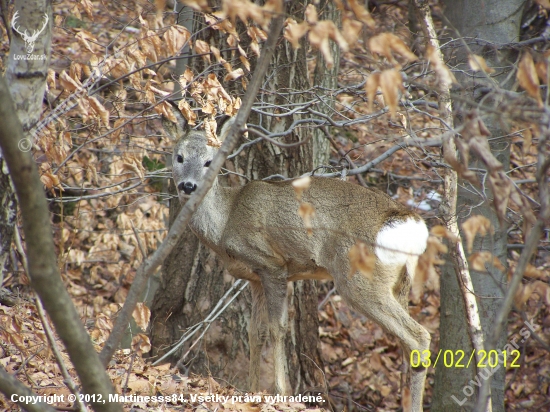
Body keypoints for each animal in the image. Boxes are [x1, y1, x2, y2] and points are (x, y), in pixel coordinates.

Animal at [164, 108, 432, 410]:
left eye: (209, 161)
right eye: (179, 156)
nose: (188, 185)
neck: (225, 224)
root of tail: (412, 224)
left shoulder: (272, 264)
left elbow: (278, 328)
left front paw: (281, 392)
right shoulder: (254, 277)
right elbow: (255, 333)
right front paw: (252, 390)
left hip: (360, 281)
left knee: (419, 336)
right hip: (399, 283)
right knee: (406, 343)